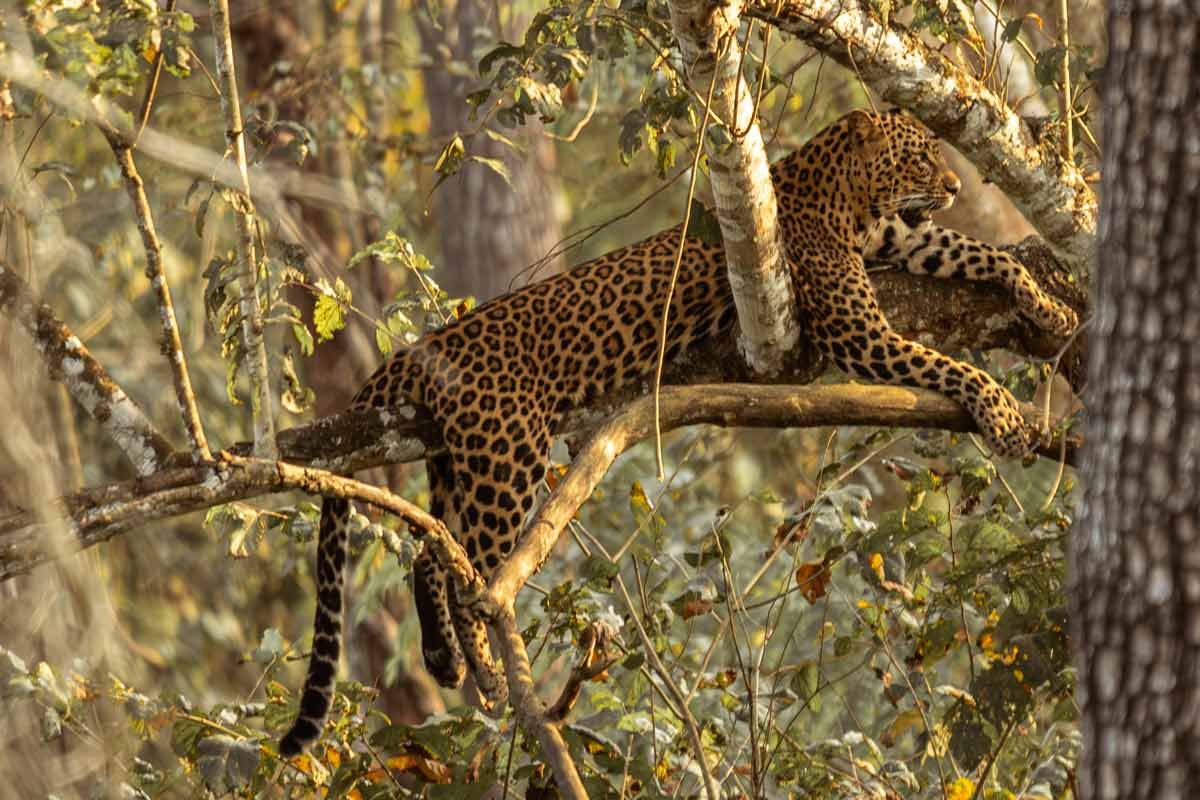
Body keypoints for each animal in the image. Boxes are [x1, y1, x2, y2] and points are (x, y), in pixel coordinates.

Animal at [278, 108, 1078, 756]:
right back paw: (485, 668)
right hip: (506, 457)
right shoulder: (859, 330)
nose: (954, 185)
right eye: (917, 159)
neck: (851, 198)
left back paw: (446, 662)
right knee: (464, 567)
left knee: (426, 553)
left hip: (457, 461)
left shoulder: (906, 242)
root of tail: (422, 347)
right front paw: (1004, 414)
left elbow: (982, 252)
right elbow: (947, 363)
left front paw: (1050, 306)